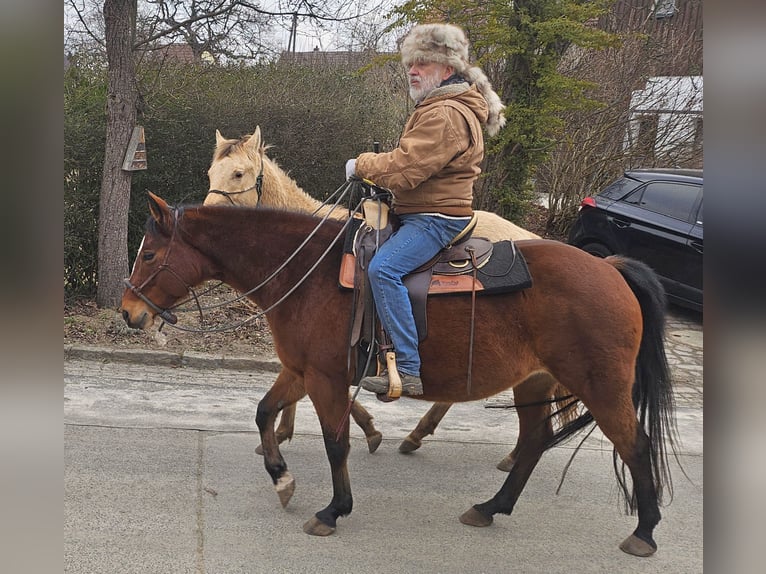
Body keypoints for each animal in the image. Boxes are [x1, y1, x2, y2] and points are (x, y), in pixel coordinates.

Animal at [122, 193, 678, 556]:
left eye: (148, 254)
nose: (129, 313)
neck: (305, 273)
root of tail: (611, 268)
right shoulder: (302, 370)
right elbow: (263, 412)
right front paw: (282, 478)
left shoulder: (325, 379)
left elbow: (336, 443)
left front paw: (333, 510)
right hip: (534, 381)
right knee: (536, 441)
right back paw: (490, 506)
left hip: (600, 387)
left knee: (635, 444)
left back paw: (646, 531)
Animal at [204, 126, 570, 470]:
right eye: (210, 173)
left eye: (238, 173)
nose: (206, 215)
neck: (312, 249)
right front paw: (283, 432)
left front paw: (367, 430)